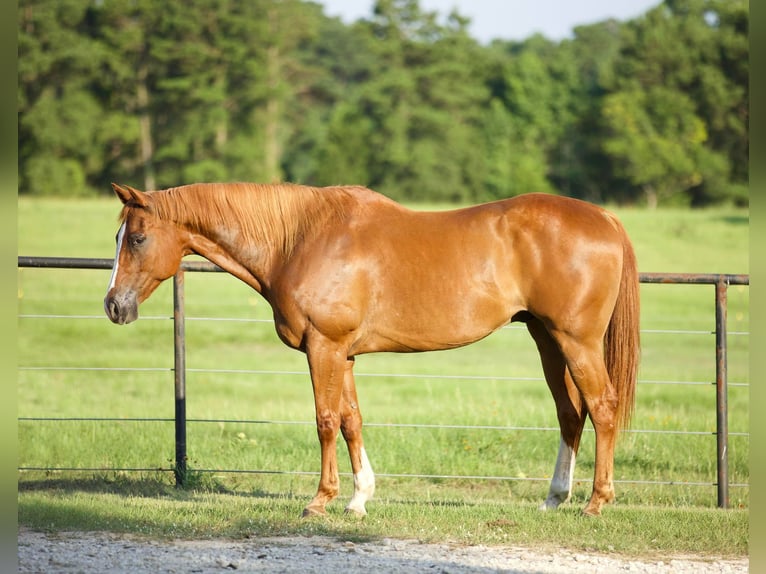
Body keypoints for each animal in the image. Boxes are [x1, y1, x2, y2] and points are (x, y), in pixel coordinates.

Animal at [103, 182, 640, 520]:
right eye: (119, 236)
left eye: (138, 238)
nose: (113, 305)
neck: (301, 239)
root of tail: (606, 218)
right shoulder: (343, 354)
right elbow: (350, 421)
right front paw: (359, 499)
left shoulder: (324, 347)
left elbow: (324, 421)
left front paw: (320, 501)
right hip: (547, 339)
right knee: (571, 413)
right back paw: (554, 499)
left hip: (576, 341)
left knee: (602, 407)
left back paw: (597, 502)